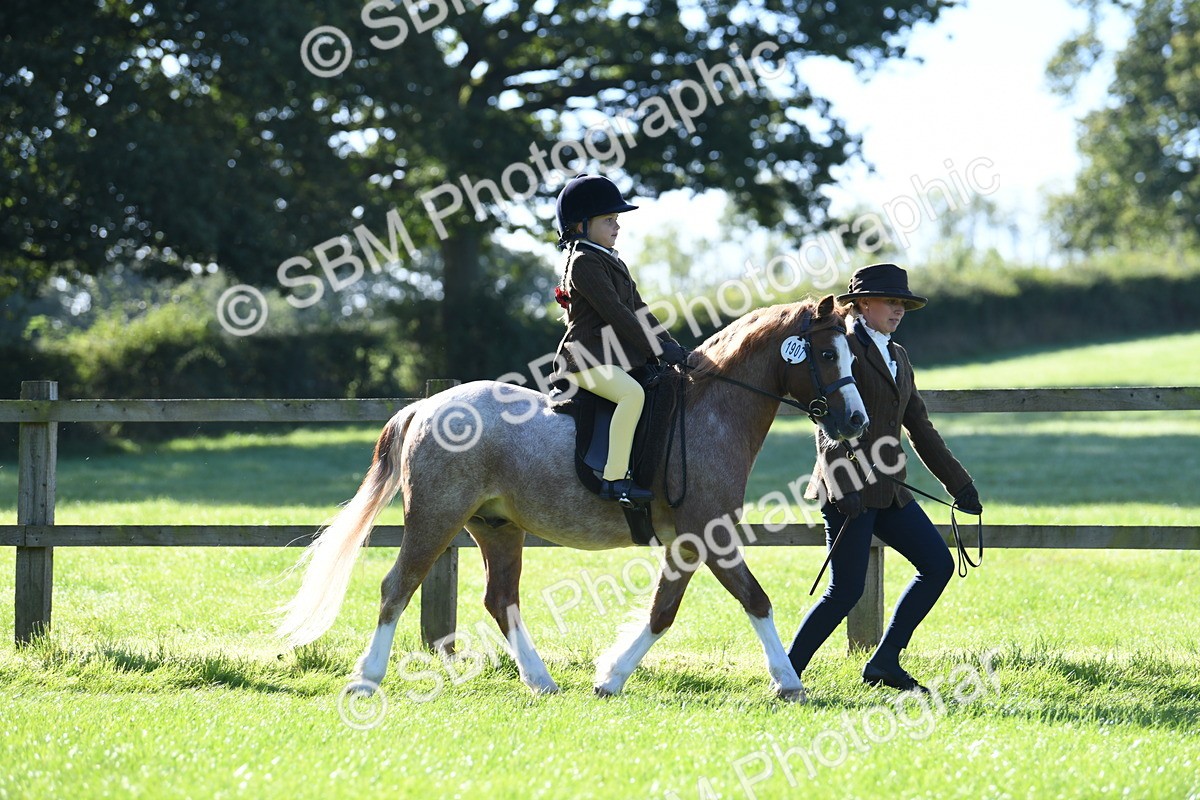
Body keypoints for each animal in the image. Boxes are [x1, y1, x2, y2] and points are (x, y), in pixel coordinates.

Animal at [276, 294, 869, 702]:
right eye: (824, 352)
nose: (857, 421)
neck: (710, 411)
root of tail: (425, 407)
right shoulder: (709, 535)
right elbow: (753, 600)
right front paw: (788, 683)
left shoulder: (688, 542)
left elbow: (663, 609)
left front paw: (610, 677)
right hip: (435, 519)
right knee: (397, 587)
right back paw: (366, 681)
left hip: (496, 528)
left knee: (500, 600)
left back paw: (540, 681)